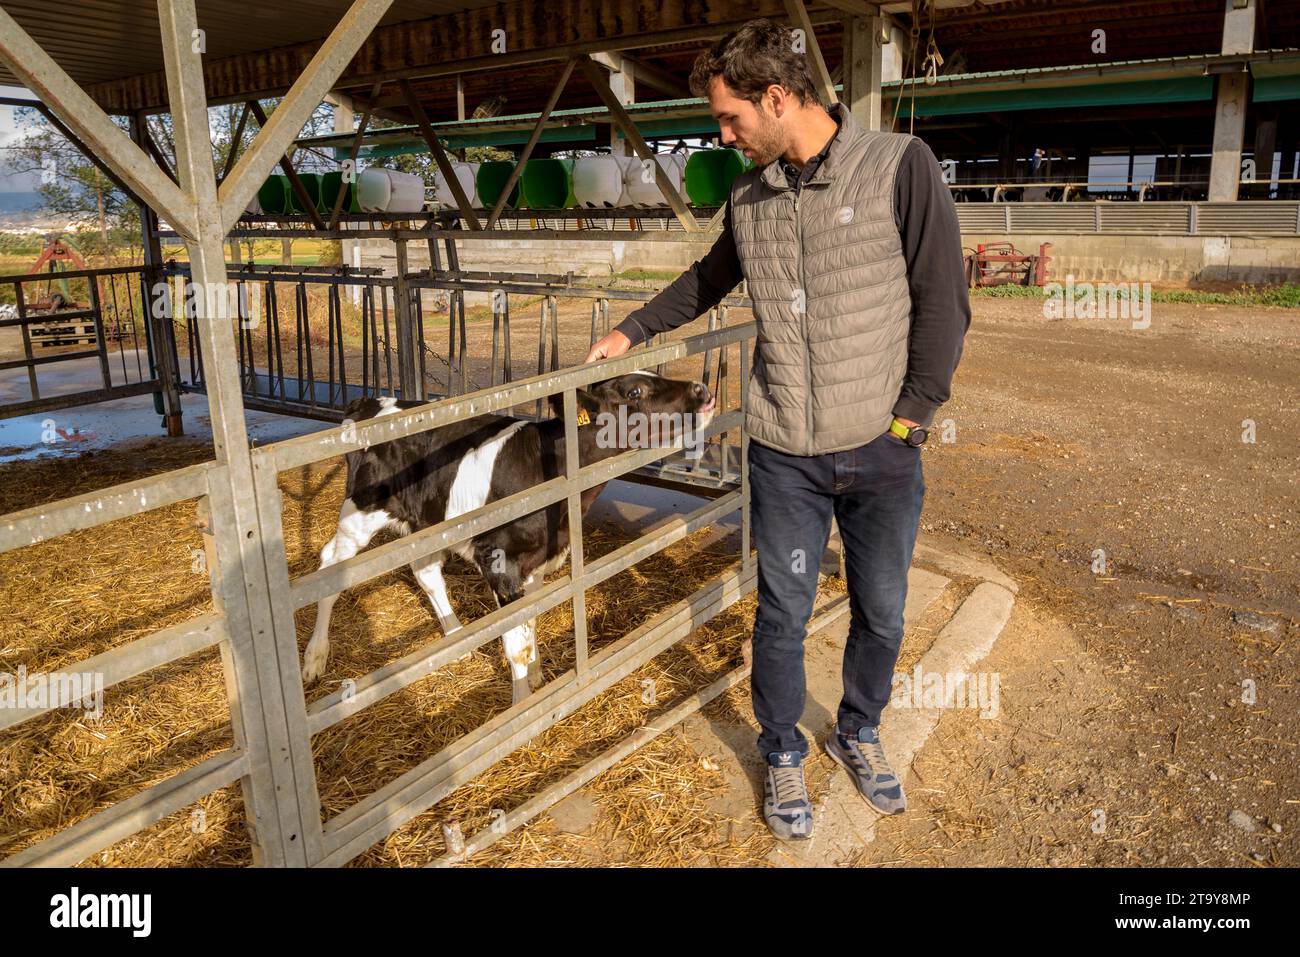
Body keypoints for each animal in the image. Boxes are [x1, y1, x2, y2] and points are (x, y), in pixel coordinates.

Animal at [302, 369, 717, 702]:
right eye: (635, 392)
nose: (701, 389)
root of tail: (369, 401)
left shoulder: (539, 559)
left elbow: (529, 623)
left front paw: (535, 677)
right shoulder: (500, 560)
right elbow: (514, 643)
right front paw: (522, 705)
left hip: (428, 519)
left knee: (425, 571)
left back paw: (456, 635)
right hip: (360, 511)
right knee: (329, 568)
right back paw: (314, 658)